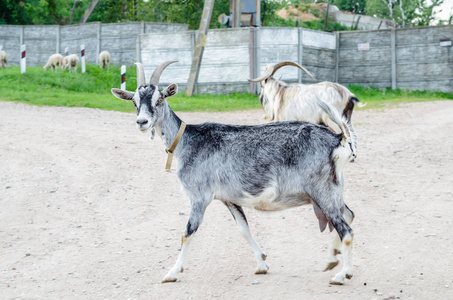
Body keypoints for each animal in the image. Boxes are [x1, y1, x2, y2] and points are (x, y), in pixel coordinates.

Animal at [110, 61, 356, 286]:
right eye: (134, 101)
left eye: (159, 99)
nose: (142, 122)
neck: (188, 141)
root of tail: (338, 139)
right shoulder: (228, 198)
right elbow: (243, 229)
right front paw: (262, 263)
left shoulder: (200, 197)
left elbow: (188, 232)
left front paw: (172, 272)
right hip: (333, 189)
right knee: (349, 214)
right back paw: (332, 260)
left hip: (321, 191)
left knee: (346, 230)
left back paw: (342, 275)